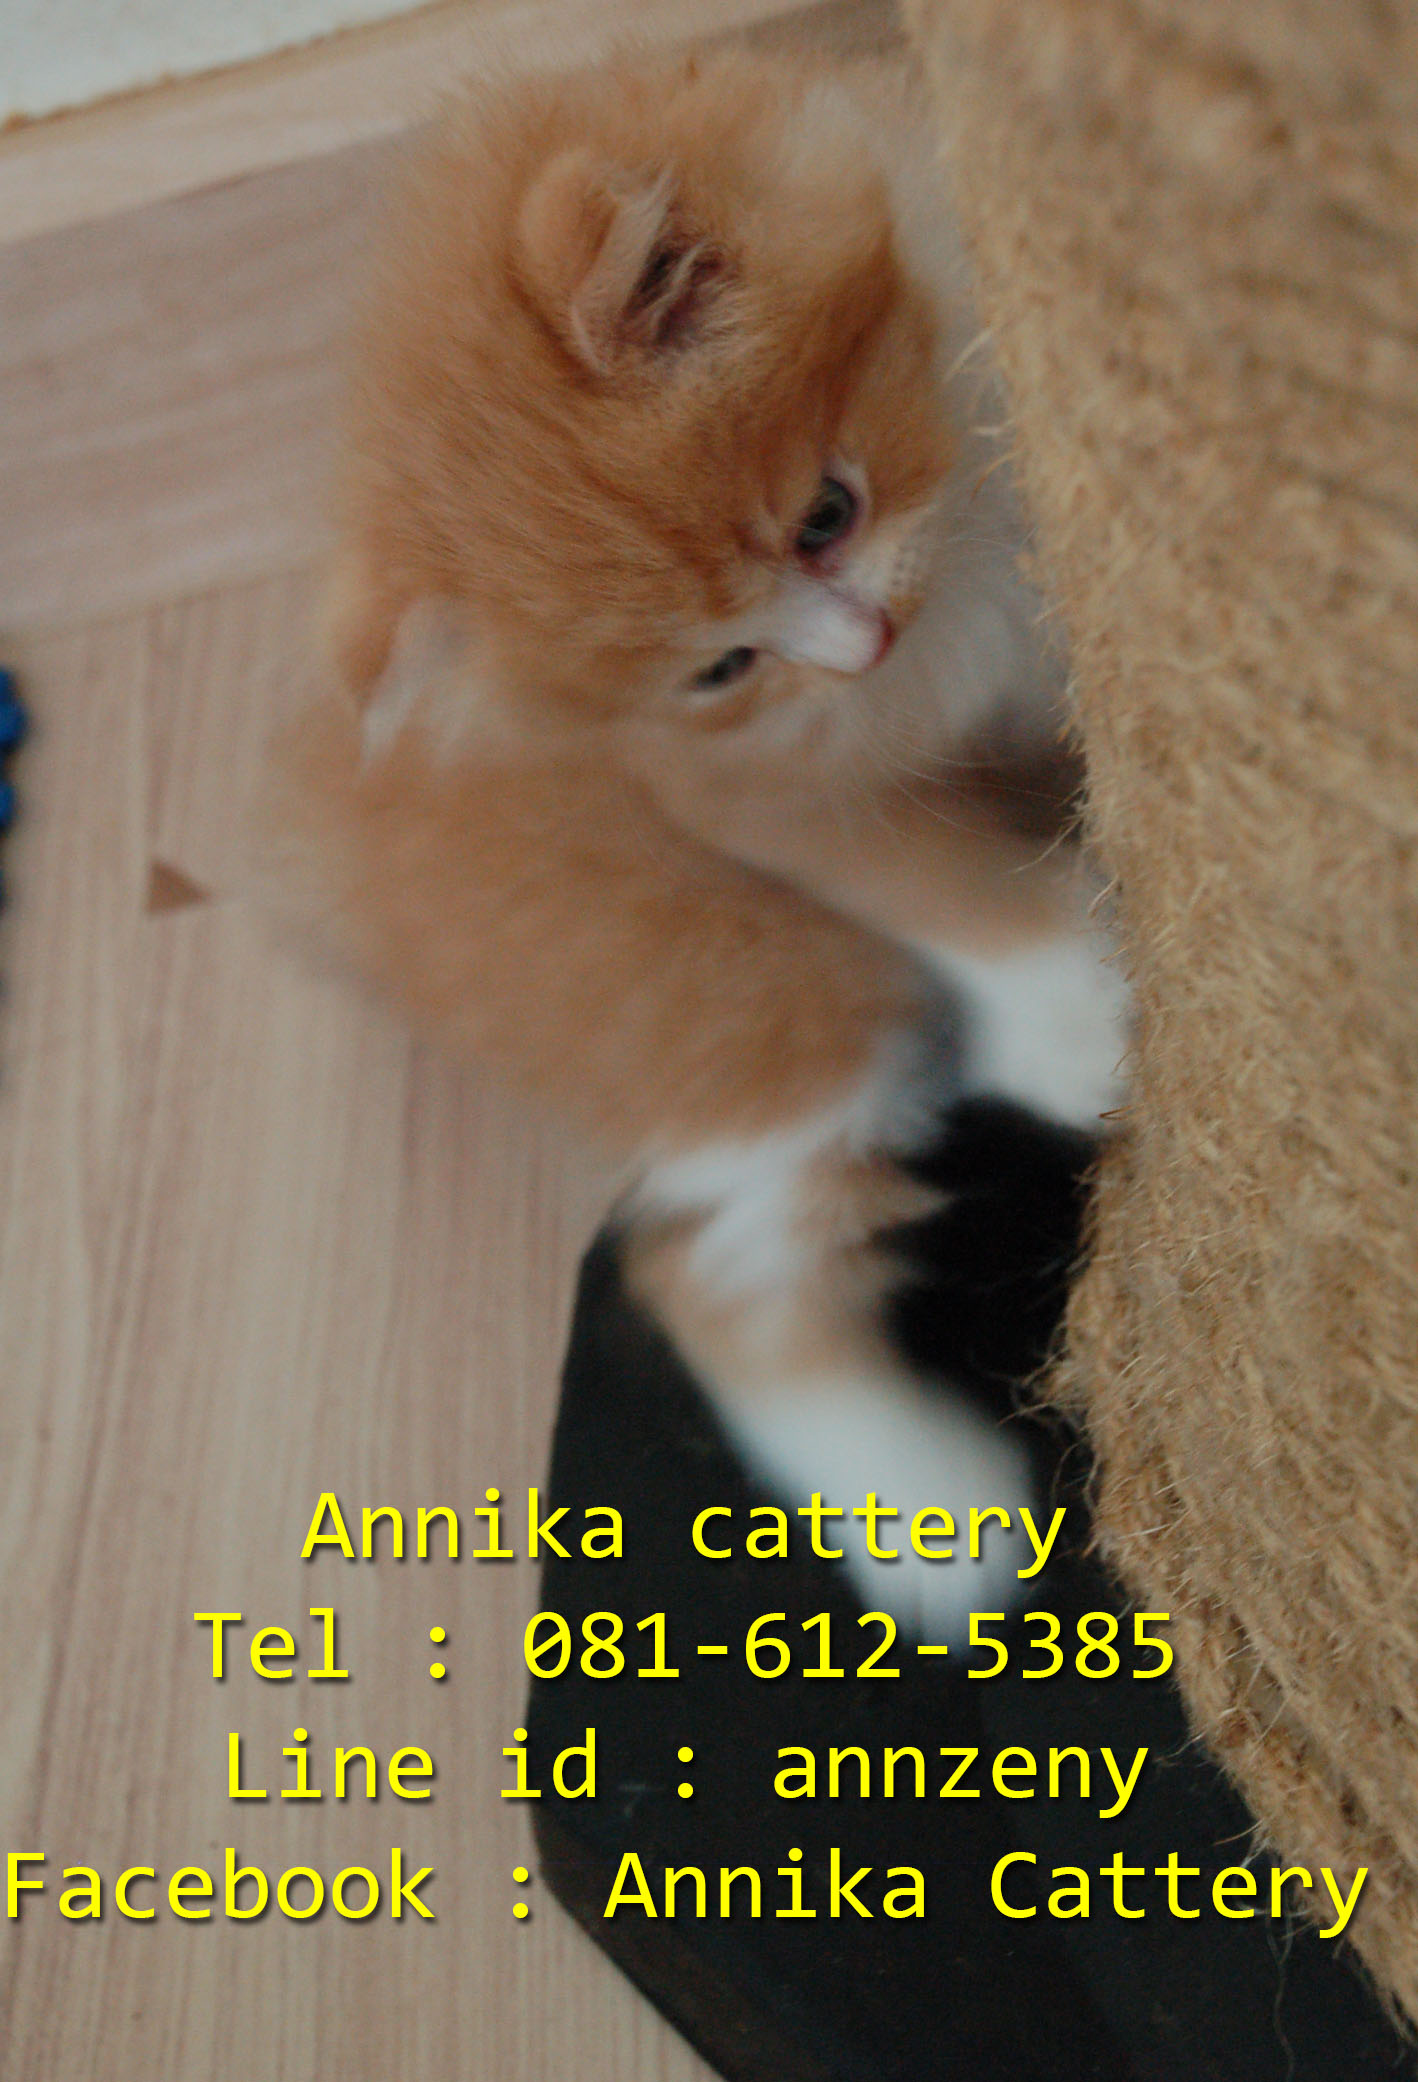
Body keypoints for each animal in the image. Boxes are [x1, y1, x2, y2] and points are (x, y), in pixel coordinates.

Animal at [266, 42, 1128, 1642]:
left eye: (825, 516)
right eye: (722, 666)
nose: (856, 648)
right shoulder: (733, 791)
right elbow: (928, 872)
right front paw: (1077, 1019)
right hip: (758, 1004)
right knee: (703, 1267)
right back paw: (934, 1521)